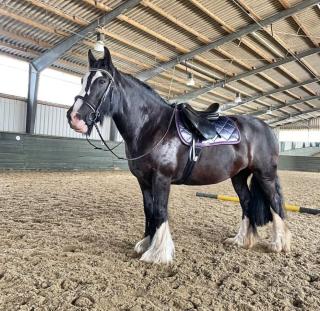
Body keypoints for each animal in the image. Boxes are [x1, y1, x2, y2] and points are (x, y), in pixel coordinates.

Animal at [66, 47, 292, 264]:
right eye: (82, 80)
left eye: (102, 81)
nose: (74, 117)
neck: (152, 126)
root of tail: (267, 127)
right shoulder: (144, 181)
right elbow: (149, 210)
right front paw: (146, 244)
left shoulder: (161, 178)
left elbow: (160, 211)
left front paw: (157, 254)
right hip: (238, 176)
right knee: (246, 202)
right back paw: (241, 240)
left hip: (265, 175)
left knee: (275, 203)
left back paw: (278, 244)